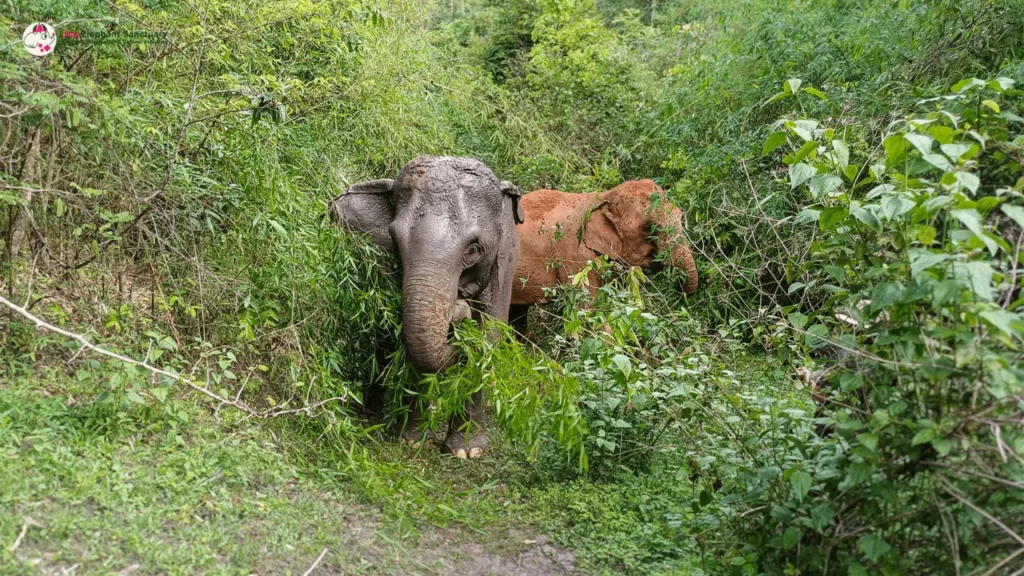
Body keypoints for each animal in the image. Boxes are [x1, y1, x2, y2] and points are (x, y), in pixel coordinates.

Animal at [329, 155, 525, 458]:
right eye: (395, 240)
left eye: (473, 249)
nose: (458, 308)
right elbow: (400, 335)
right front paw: (412, 441)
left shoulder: (504, 266)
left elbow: (488, 338)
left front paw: (467, 452)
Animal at [509, 179, 697, 337]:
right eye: (649, 228)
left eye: (680, 215)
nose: (678, 289)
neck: (602, 197)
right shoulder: (574, 256)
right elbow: (587, 312)